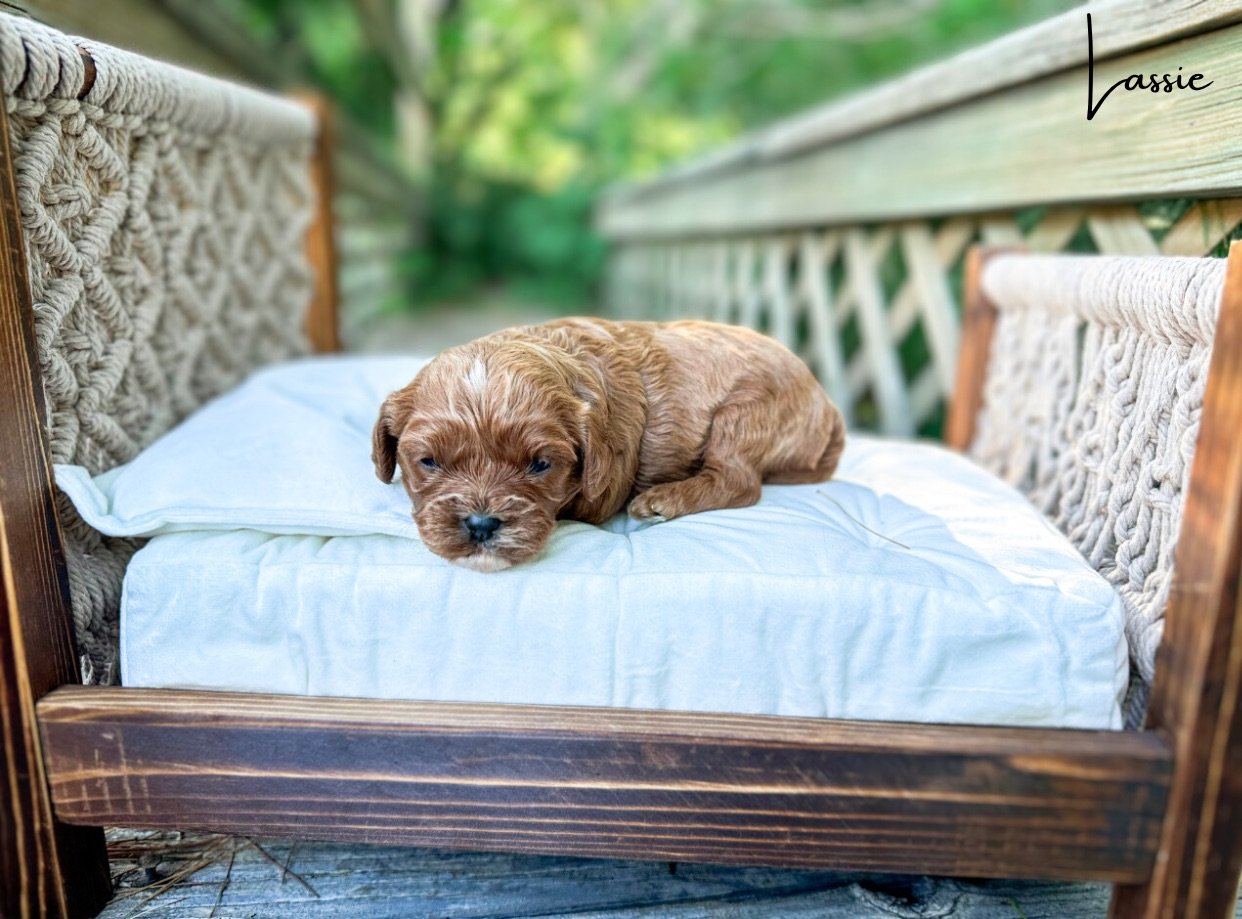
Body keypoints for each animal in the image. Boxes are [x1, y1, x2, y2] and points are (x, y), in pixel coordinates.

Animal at [372, 320, 849, 571]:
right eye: (429, 461)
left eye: (540, 465)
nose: (481, 524)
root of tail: (826, 402)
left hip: (745, 415)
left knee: (739, 481)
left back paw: (663, 500)